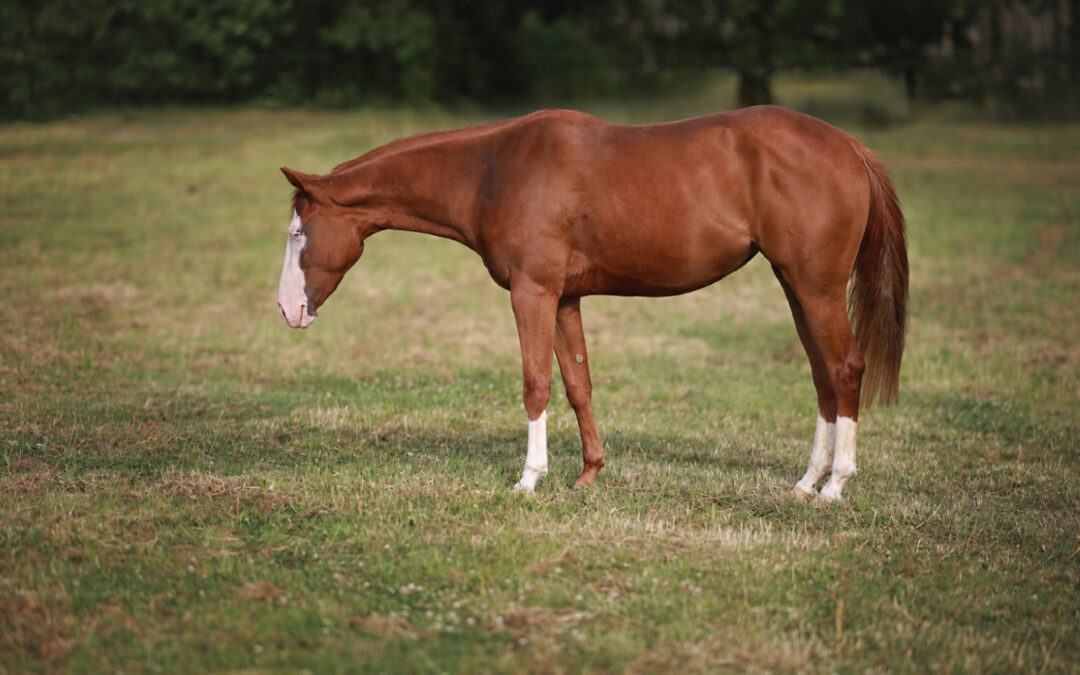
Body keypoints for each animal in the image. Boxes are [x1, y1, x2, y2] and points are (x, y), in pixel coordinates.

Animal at [277, 105, 908, 502]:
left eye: (298, 232)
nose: (287, 310)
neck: (492, 171)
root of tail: (848, 146)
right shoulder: (565, 299)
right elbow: (577, 385)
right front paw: (588, 476)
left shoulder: (533, 293)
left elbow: (535, 383)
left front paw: (529, 480)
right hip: (796, 287)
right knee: (824, 377)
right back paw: (806, 483)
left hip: (816, 289)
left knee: (846, 369)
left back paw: (835, 487)